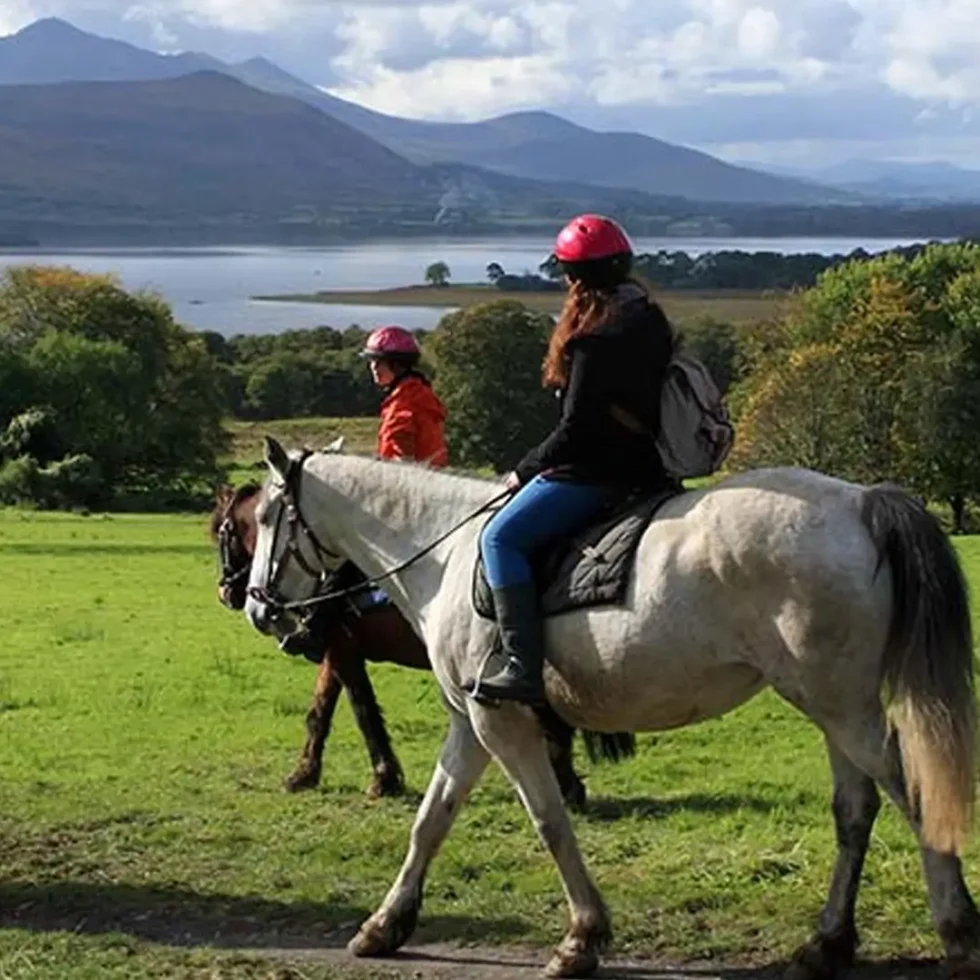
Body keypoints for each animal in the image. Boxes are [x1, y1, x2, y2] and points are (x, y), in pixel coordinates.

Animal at [213, 484, 628, 804]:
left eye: (223, 531)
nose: (227, 592)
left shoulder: (342, 649)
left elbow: (363, 711)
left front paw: (383, 777)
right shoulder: (337, 651)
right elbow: (320, 712)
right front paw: (305, 773)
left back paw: (564, 784)